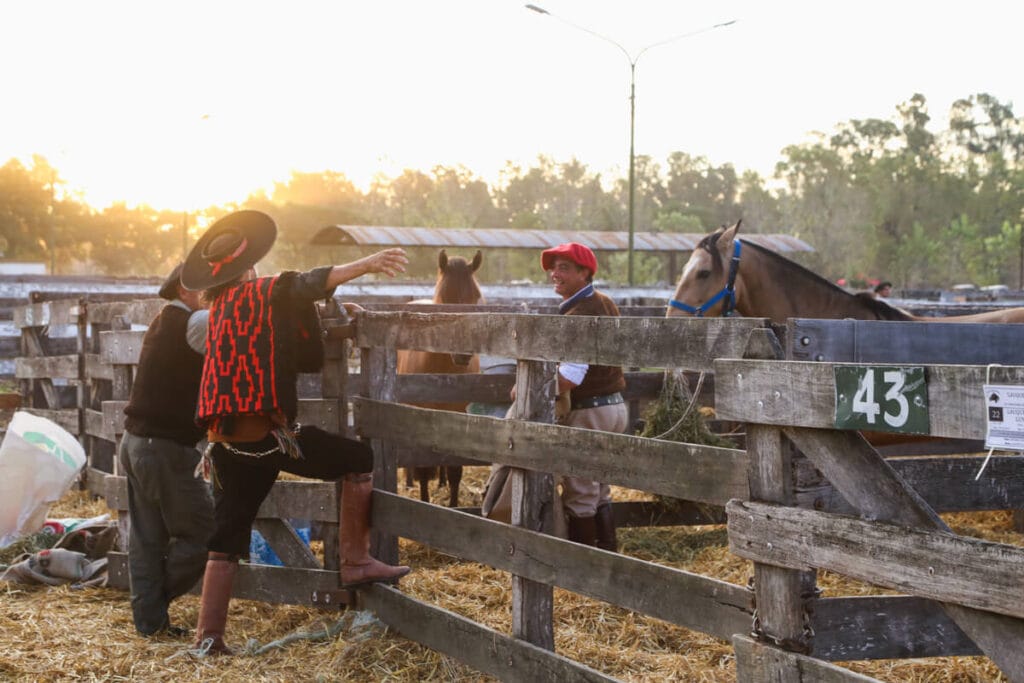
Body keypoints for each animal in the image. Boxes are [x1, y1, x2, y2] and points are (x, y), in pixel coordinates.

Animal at [395, 248, 483, 505]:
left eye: (476, 296)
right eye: (445, 295)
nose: (463, 352)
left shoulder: (457, 414)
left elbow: (454, 469)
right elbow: (423, 468)